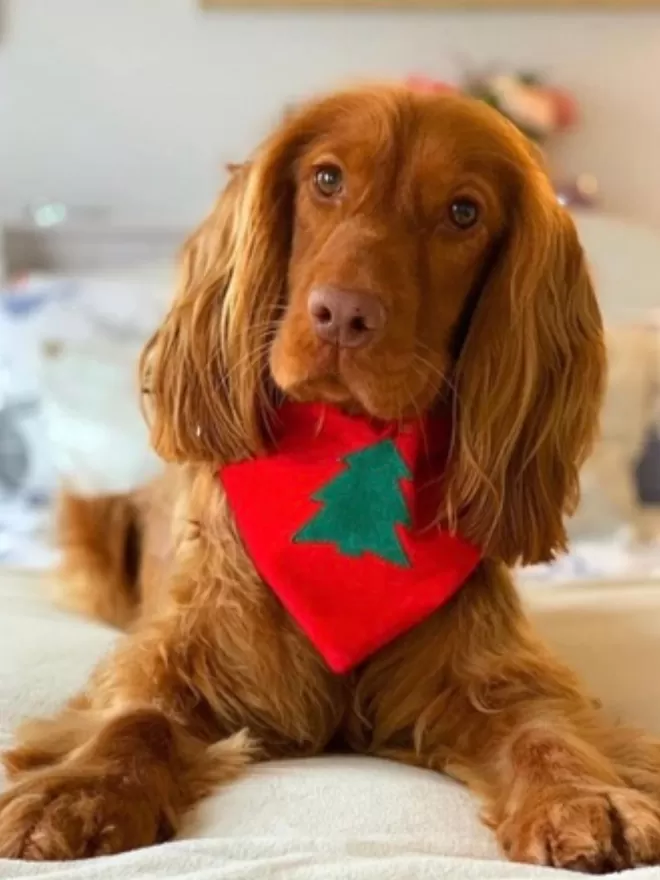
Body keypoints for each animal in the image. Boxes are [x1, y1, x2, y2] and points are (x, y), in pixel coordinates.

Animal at [1, 86, 660, 868]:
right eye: (326, 179)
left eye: (463, 213)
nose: (343, 315)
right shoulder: (178, 655)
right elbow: (136, 720)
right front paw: (78, 791)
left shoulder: (492, 674)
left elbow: (544, 729)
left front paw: (584, 797)